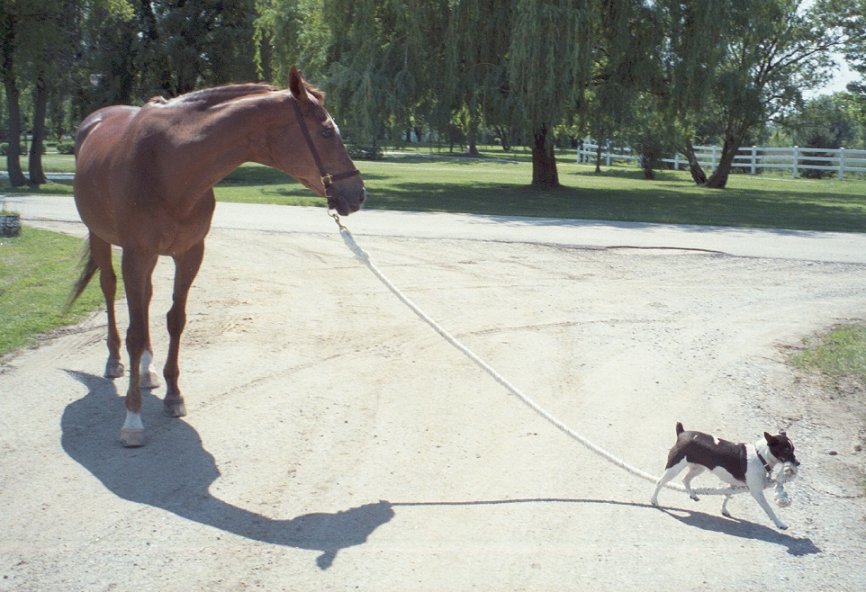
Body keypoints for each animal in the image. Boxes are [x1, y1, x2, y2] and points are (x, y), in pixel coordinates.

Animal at [68, 66, 365, 447]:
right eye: (327, 131)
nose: (358, 193)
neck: (167, 165)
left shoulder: (190, 253)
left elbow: (175, 320)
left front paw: (173, 395)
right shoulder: (136, 253)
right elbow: (135, 330)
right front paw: (133, 419)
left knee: (145, 299)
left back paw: (147, 370)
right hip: (101, 239)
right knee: (109, 289)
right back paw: (114, 360)